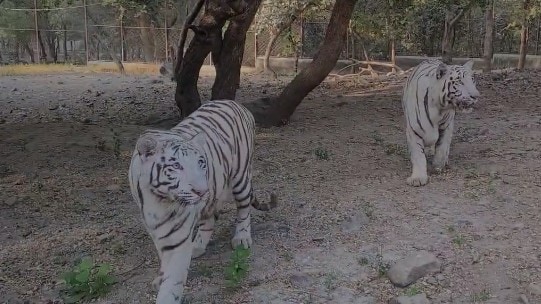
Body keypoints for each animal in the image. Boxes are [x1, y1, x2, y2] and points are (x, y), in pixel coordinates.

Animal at [128, 99, 276, 302]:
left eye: (201, 163)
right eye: (176, 166)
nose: (202, 191)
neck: (157, 199)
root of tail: (235, 103)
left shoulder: (178, 236)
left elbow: (173, 281)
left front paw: (167, 291)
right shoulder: (155, 229)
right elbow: (164, 259)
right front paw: (160, 278)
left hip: (241, 178)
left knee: (244, 209)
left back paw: (241, 238)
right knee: (209, 218)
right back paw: (197, 246)